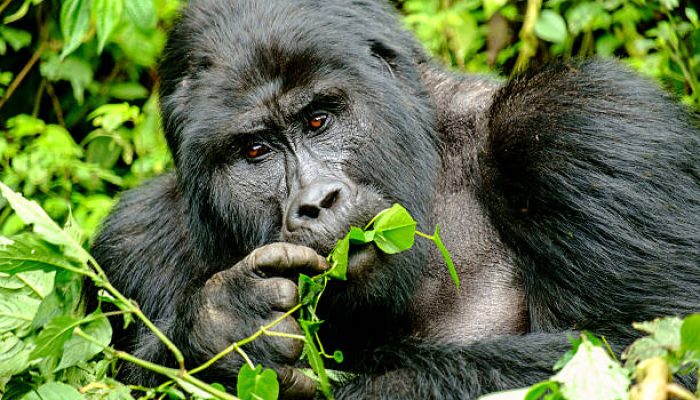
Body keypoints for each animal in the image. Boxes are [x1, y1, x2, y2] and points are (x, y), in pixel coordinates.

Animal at [90, 0, 696, 398]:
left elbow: (645, 352)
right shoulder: (134, 242)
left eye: (319, 119)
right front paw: (221, 332)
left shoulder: (585, 122)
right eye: (256, 151)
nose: (315, 202)